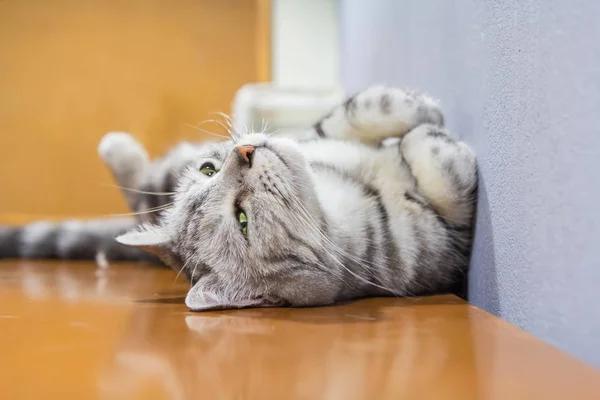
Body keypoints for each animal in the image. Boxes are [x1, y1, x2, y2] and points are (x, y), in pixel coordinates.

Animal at [0, 85, 478, 312]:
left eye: (209, 171)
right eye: (242, 219)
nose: (243, 152)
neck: (338, 200)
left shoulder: (317, 139)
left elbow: (351, 115)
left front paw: (414, 108)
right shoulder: (445, 240)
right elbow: (442, 173)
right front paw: (433, 139)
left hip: (161, 184)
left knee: (145, 188)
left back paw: (116, 147)